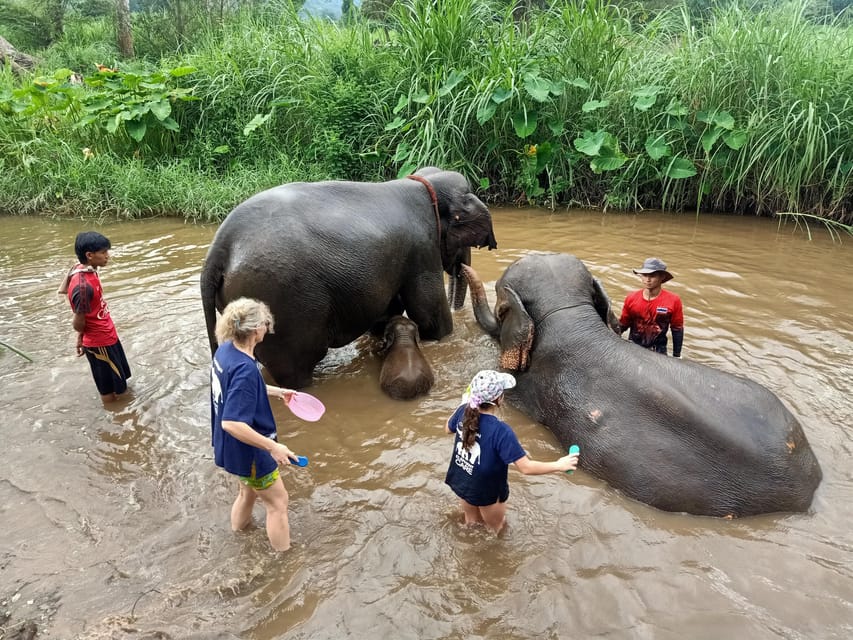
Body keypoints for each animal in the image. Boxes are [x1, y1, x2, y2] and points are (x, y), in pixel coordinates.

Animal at [200, 165, 496, 388]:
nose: (461, 265)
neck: (422, 184)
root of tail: (219, 248)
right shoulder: (421, 248)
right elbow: (428, 314)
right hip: (281, 301)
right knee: (296, 367)